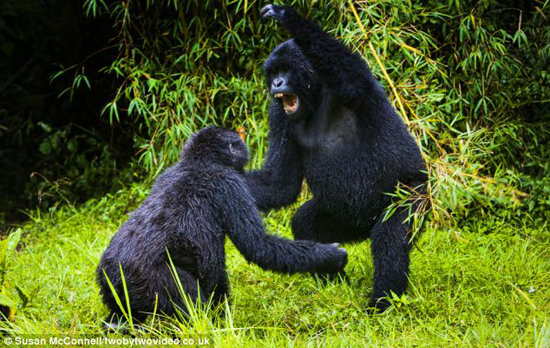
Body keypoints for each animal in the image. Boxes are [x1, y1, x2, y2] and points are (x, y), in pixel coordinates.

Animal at [98, 126, 350, 328]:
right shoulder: (229, 185)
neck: (198, 161)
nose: (245, 148)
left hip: (113, 286)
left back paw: (116, 326)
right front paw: (329, 256)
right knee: (190, 304)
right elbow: (259, 246)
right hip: (151, 280)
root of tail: (114, 272)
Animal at [248, 4, 430, 310]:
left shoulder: (354, 85)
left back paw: (382, 303)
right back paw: (332, 281)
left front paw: (287, 16)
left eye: (286, 70)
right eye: (273, 72)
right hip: (344, 219)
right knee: (306, 222)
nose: (277, 83)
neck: (317, 96)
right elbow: (279, 183)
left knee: (390, 237)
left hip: (415, 196)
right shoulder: (279, 114)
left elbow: (348, 72)